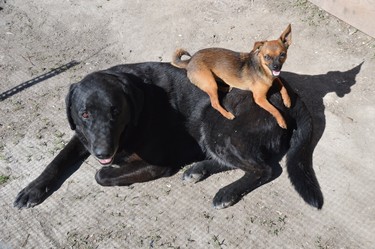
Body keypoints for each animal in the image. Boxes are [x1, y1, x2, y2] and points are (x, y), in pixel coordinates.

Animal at [14, 61, 324, 208]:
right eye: (85, 114)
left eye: (116, 111)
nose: (103, 152)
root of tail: (291, 94)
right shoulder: (82, 137)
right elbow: (57, 160)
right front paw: (33, 189)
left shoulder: (158, 164)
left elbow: (101, 175)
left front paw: (112, 168)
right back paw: (198, 169)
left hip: (217, 124)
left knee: (265, 169)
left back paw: (227, 192)